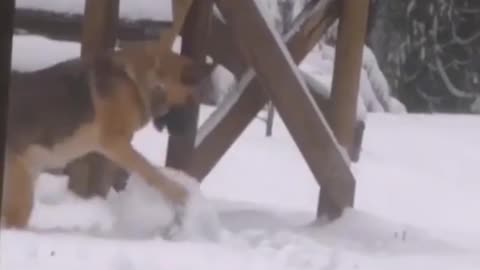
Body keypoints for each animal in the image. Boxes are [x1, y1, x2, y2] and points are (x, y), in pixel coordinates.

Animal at [3, 41, 214, 229]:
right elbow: (149, 170)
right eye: (191, 101)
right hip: (21, 194)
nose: (187, 134)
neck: (136, 81)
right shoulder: (115, 143)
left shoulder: (118, 148)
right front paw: (179, 193)